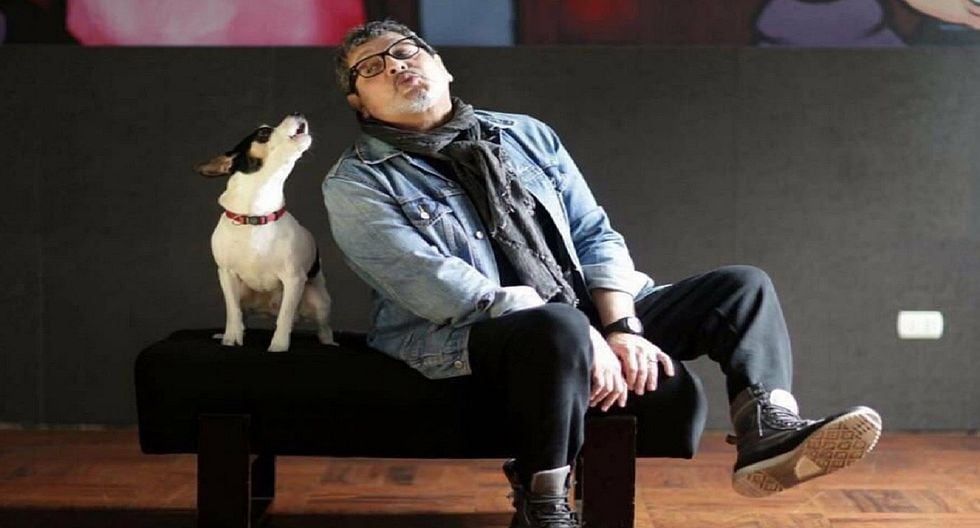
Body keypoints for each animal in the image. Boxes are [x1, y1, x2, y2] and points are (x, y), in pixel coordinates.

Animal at [195, 113, 334, 351]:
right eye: (263, 132)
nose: (298, 113)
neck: (257, 214)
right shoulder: (227, 275)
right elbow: (233, 312)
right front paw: (230, 339)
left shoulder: (293, 279)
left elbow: (285, 317)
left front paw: (278, 346)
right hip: (242, 291)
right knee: (241, 316)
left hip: (319, 302)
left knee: (322, 327)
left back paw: (329, 343)